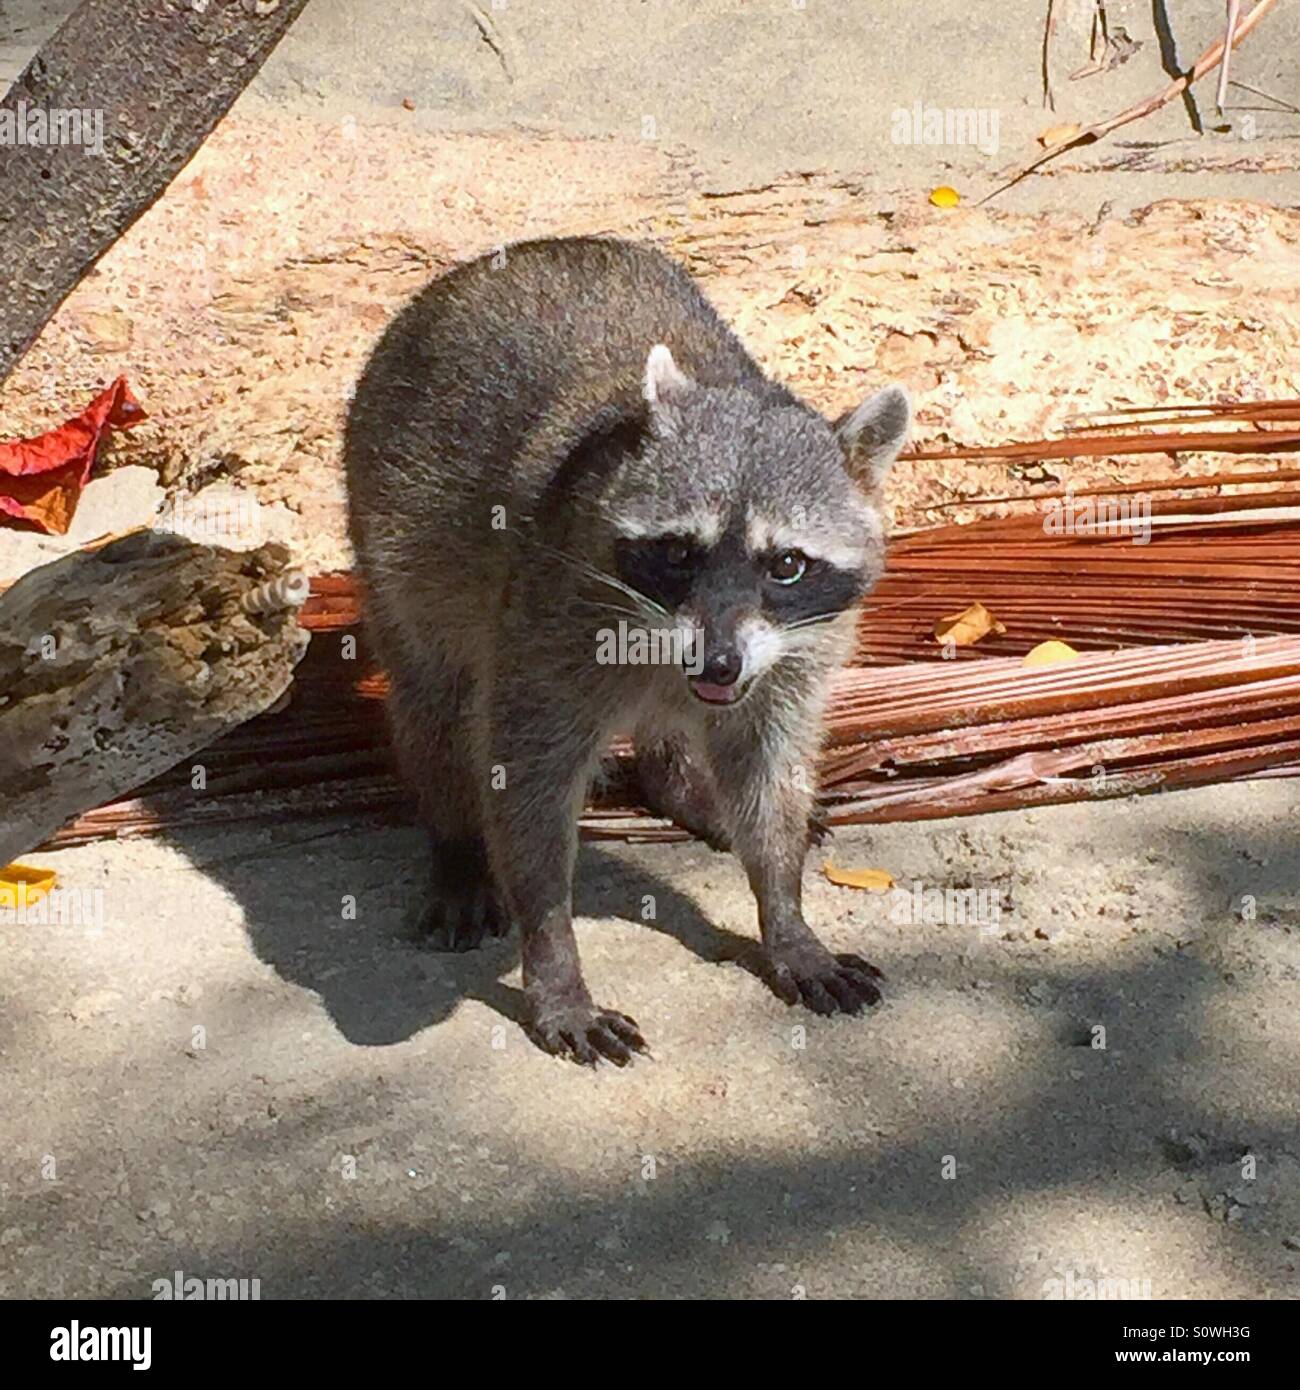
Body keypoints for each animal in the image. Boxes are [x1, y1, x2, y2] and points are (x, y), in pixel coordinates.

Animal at [344, 236, 910, 1065]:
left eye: (786, 564)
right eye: (678, 553)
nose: (717, 664)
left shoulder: (797, 653)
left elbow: (768, 770)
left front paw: (786, 915)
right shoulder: (549, 619)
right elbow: (528, 786)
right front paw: (554, 963)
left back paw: (678, 782)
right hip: (389, 528)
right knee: (434, 704)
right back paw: (454, 843)